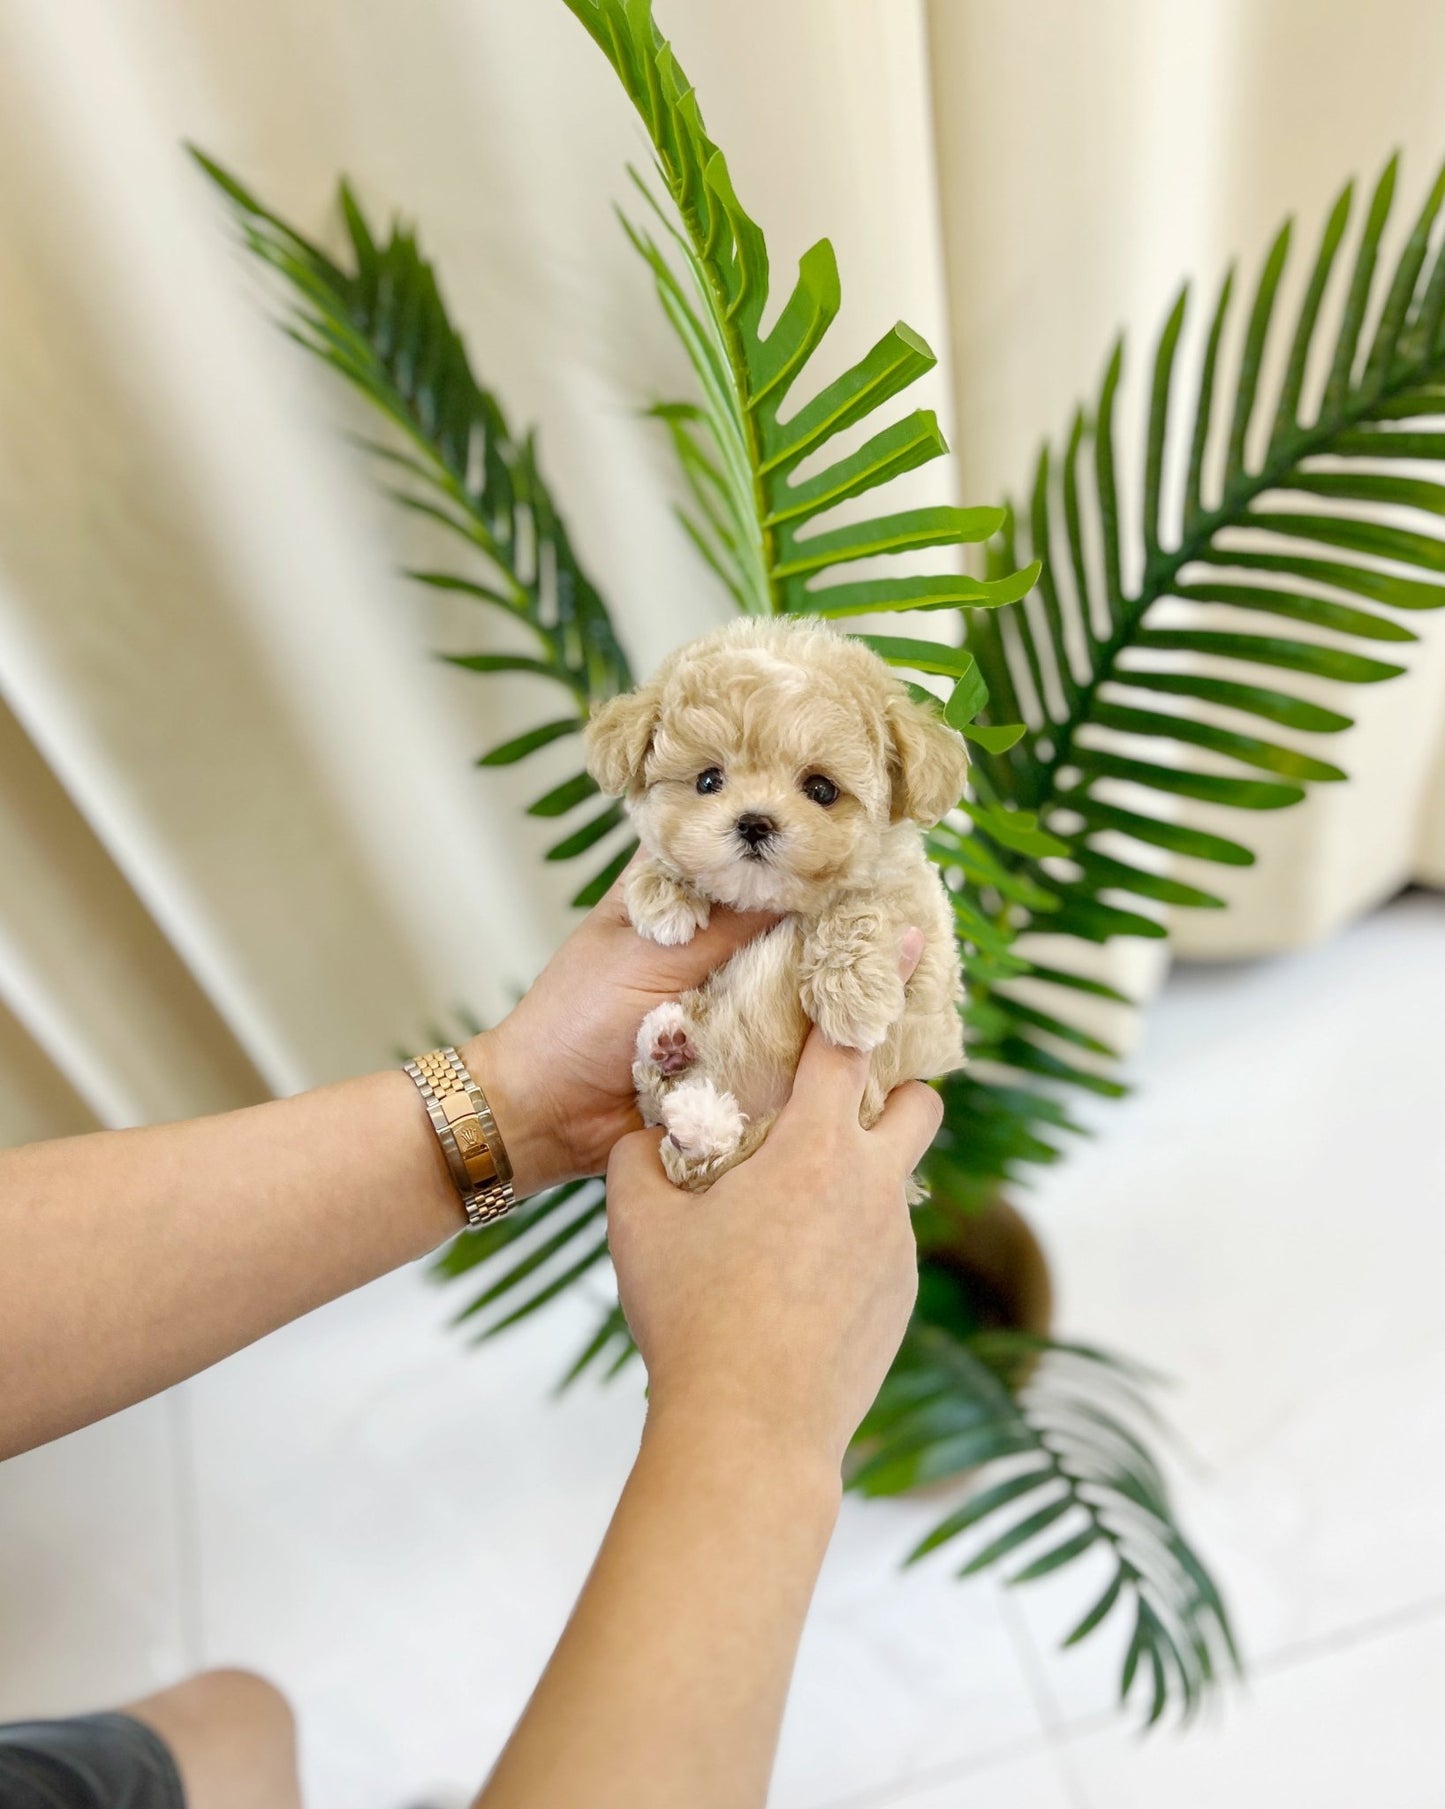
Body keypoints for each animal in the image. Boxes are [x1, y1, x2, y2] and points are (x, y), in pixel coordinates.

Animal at [585, 615, 969, 1193]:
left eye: (822, 789)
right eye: (708, 780)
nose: (754, 822)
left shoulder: (920, 921)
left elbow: (868, 908)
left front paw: (852, 997)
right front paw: (664, 896)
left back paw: (685, 1084)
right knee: (679, 1129)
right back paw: (672, 1055)